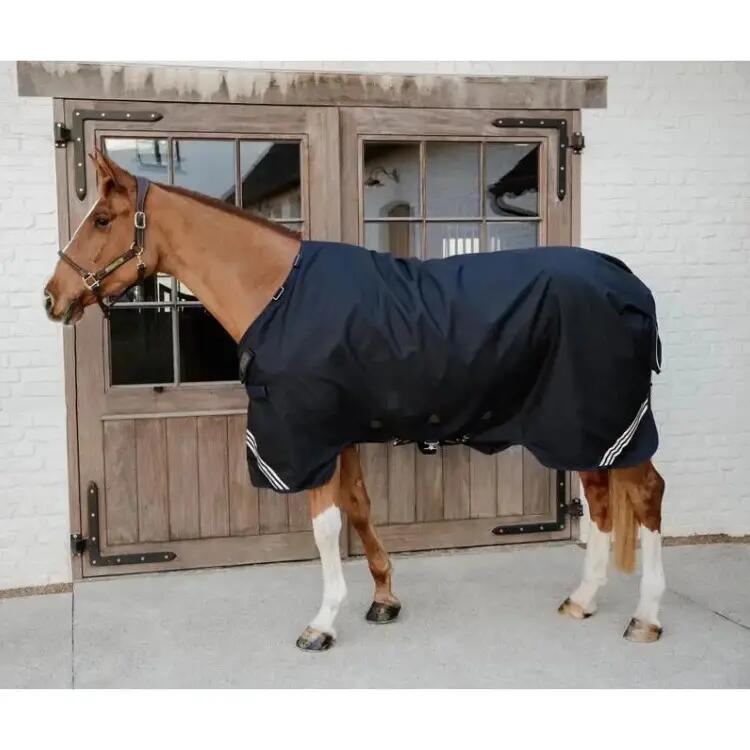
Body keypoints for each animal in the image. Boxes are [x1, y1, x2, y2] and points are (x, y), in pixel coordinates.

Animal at [43, 149, 666, 650]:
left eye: (102, 220)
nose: (52, 298)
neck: (280, 294)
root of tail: (628, 283)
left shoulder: (306, 436)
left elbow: (324, 528)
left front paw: (322, 624)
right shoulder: (337, 434)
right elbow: (361, 510)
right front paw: (384, 599)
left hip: (606, 421)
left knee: (647, 496)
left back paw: (645, 618)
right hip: (580, 427)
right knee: (601, 501)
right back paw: (582, 599)